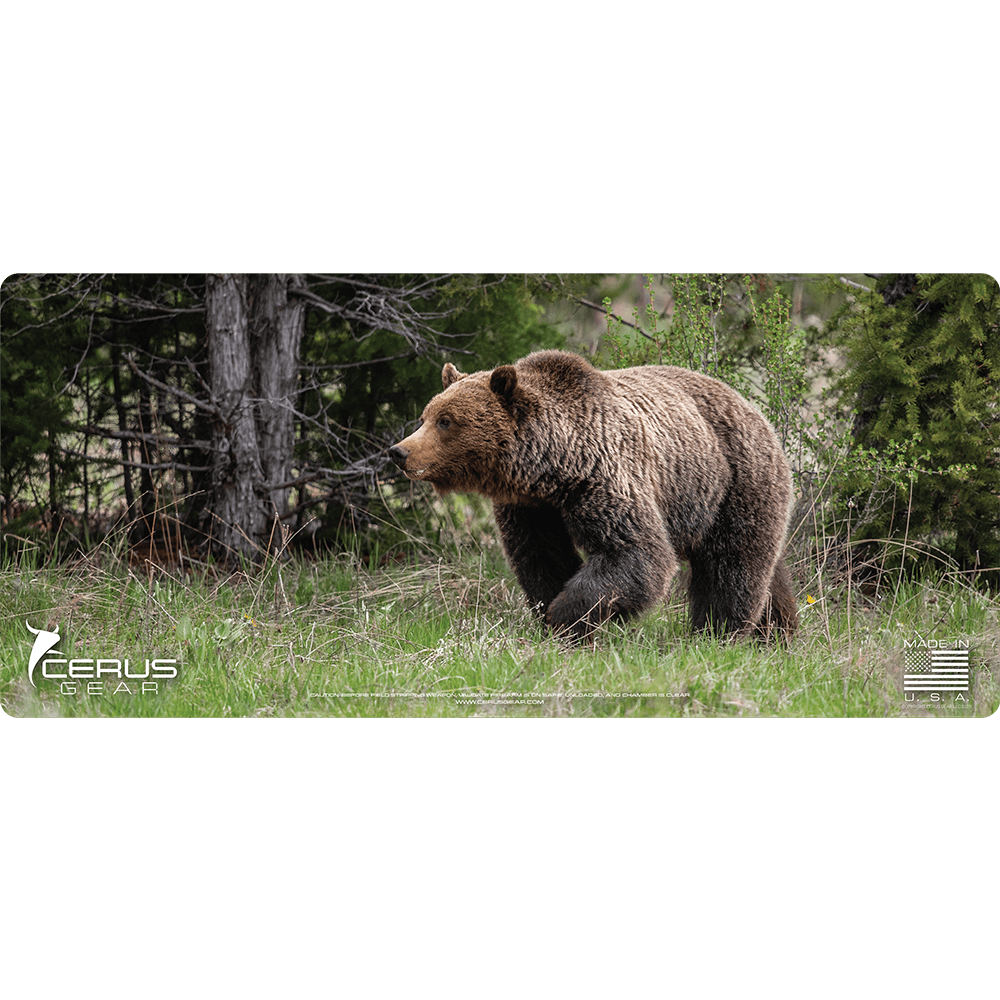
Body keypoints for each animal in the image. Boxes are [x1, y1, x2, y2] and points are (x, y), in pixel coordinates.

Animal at [388, 350, 798, 642]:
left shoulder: (603, 478)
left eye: (446, 421)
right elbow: (541, 557)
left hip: (732, 481)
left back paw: (718, 632)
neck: (551, 468)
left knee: (731, 564)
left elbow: (635, 553)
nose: (400, 451)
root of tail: (753, 408)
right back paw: (777, 633)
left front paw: (565, 617)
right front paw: (552, 615)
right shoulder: (531, 508)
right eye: (426, 416)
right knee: (769, 571)